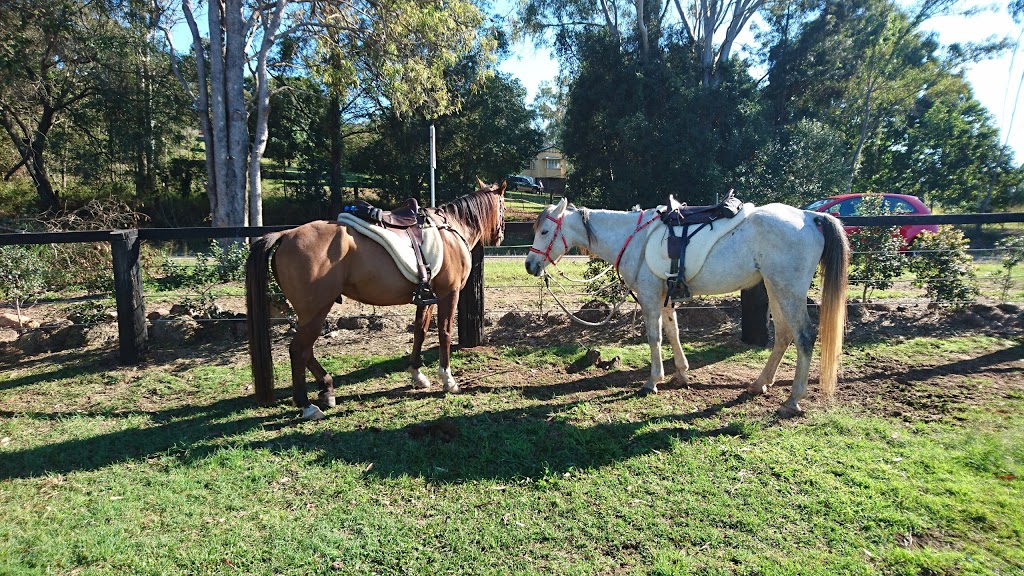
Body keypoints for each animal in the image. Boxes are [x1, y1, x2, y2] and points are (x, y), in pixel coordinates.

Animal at [245, 179, 505, 416]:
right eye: (502, 206)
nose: (500, 236)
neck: (450, 230)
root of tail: (287, 234)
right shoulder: (448, 294)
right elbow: (445, 333)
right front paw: (448, 380)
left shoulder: (427, 298)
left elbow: (420, 332)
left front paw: (417, 375)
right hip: (315, 312)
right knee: (299, 351)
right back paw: (307, 405)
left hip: (311, 314)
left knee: (305, 351)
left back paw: (327, 388)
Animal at [524, 196, 851, 412]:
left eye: (544, 231)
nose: (529, 265)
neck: (635, 238)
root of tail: (810, 217)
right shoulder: (666, 300)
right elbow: (673, 334)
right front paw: (681, 374)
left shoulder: (649, 298)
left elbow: (654, 338)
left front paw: (653, 381)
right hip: (774, 288)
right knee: (783, 335)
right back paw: (760, 384)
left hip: (788, 290)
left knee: (804, 336)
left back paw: (793, 400)